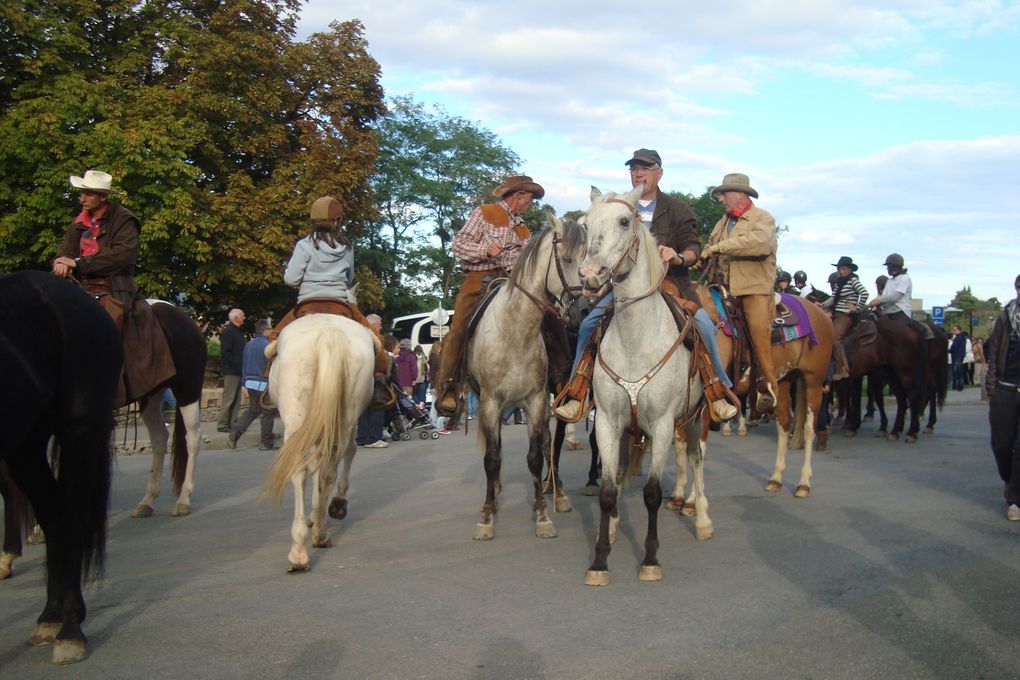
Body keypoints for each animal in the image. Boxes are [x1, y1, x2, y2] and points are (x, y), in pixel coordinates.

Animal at [0, 271, 122, 664]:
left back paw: (69, 629)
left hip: (79, 429)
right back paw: (50, 616)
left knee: (72, 519)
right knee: (53, 515)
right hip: (26, 444)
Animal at [128, 299, 206, 517]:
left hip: (187, 389)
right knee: (159, 437)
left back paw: (183, 499)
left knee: (192, 438)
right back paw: (147, 500)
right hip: (151, 395)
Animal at [263, 316, 375, 570]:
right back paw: (314, 538)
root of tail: (329, 334)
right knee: (326, 470)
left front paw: (325, 509)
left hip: (297, 416)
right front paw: (319, 512)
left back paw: (302, 546)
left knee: (302, 470)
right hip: (344, 412)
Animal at [461, 215, 583, 538]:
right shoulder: (490, 403)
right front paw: (486, 517)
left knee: (549, 441)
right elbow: (492, 458)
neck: (514, 332)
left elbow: (535, 457)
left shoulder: (536, 400)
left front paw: (542, 516)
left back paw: (558, 493)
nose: (584, 309)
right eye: (567, 259)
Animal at [579, 183, 714, 587]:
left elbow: (653, 493)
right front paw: (599, 561)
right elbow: (608, 490)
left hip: (696, 416)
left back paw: (702, 519)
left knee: (697, 457)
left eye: (625, 221)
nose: (590, 274)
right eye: (585, 224)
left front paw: (651, 559)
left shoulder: (664, 424)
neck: (635, 340)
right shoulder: (608, 422)